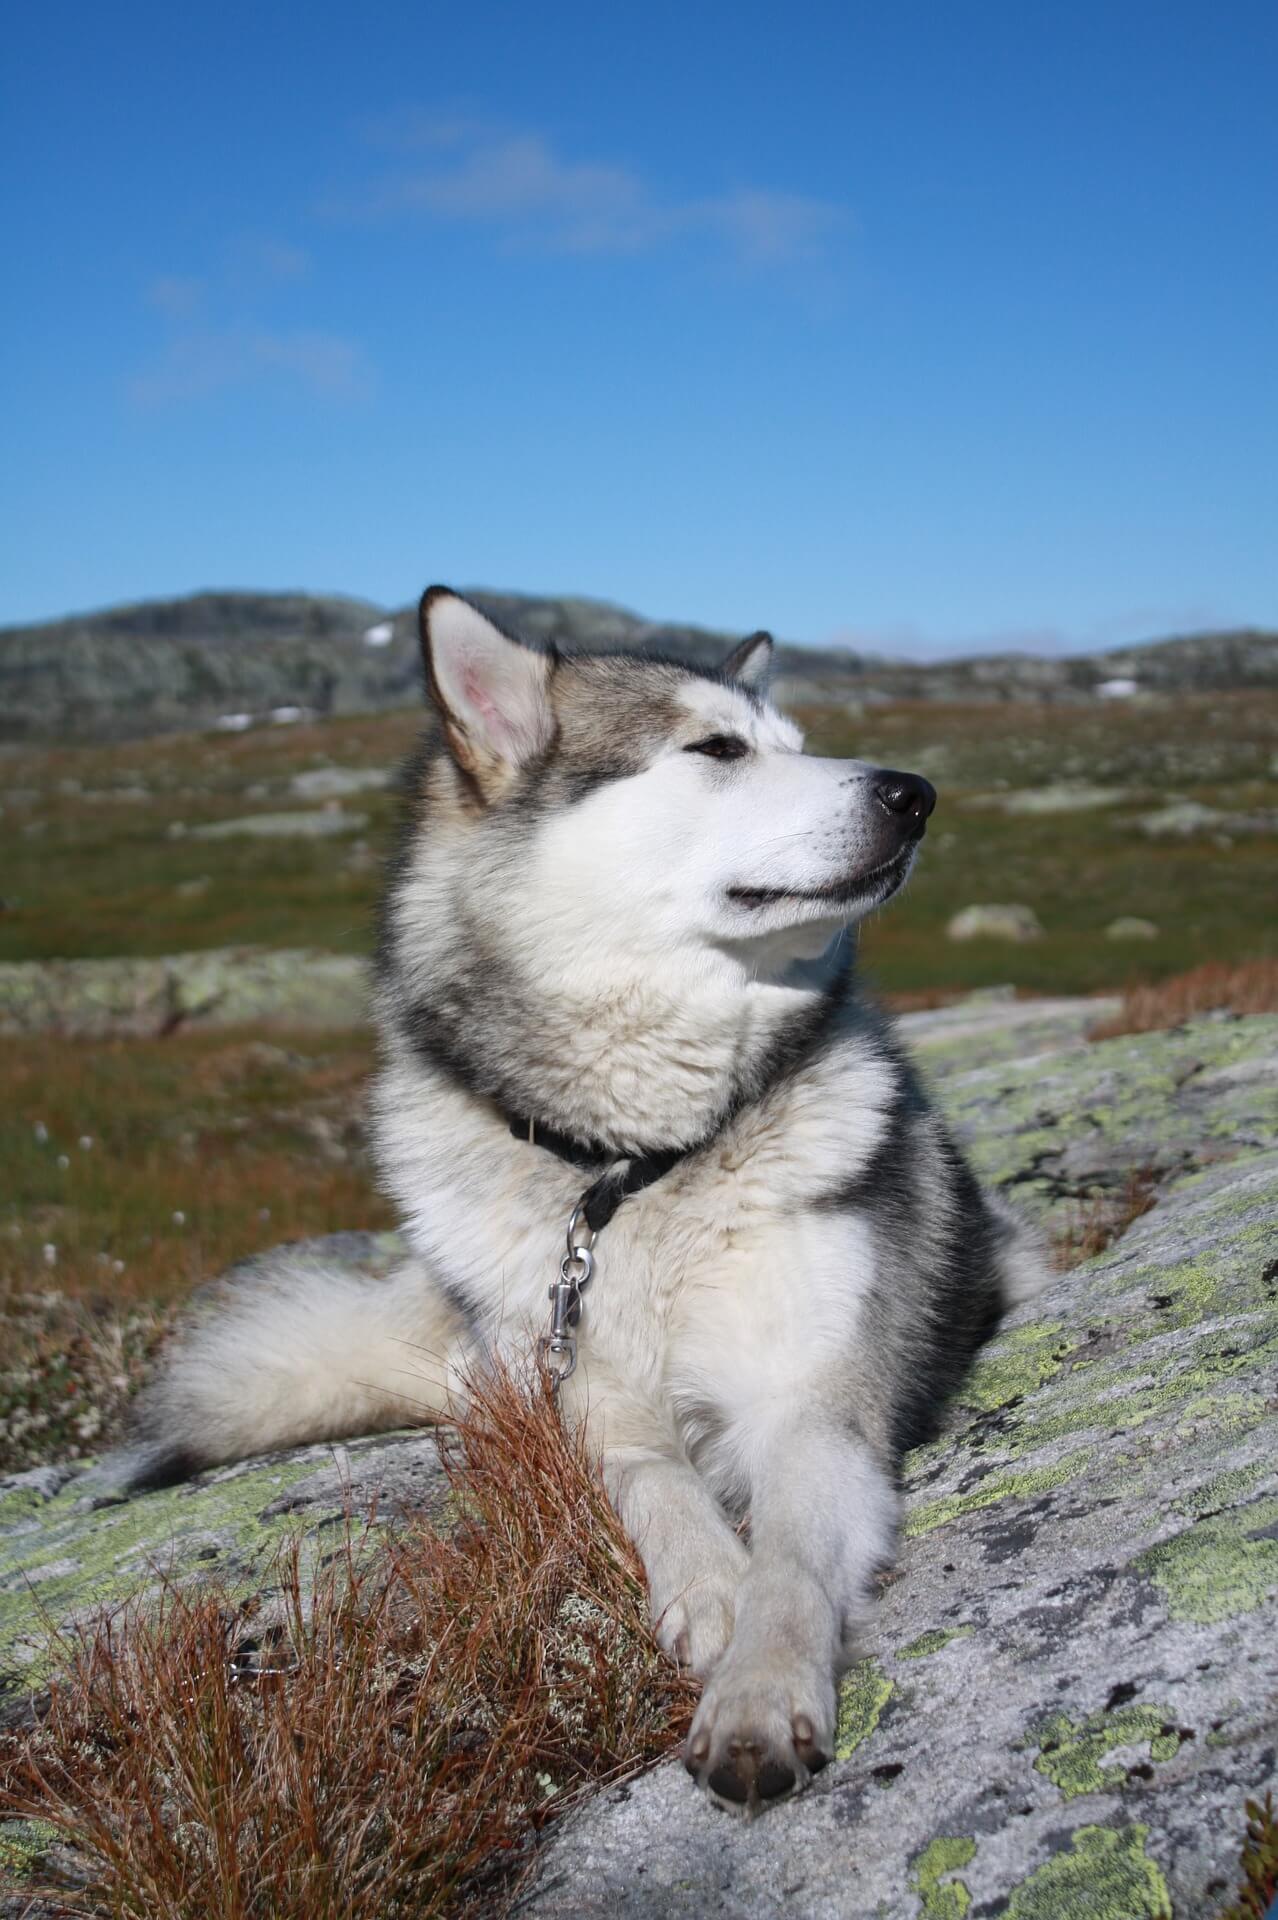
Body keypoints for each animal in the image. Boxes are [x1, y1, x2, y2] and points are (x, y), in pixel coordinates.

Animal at [119, 587, 1043, 1812]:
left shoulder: (813, 1402)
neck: (632, 1165)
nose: (916, 792)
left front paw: (758, 1691)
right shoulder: (590, 1402)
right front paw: (708, 1590)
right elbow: (655, 1485)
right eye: (718, 749)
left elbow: (792, 1565)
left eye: (799, 744)